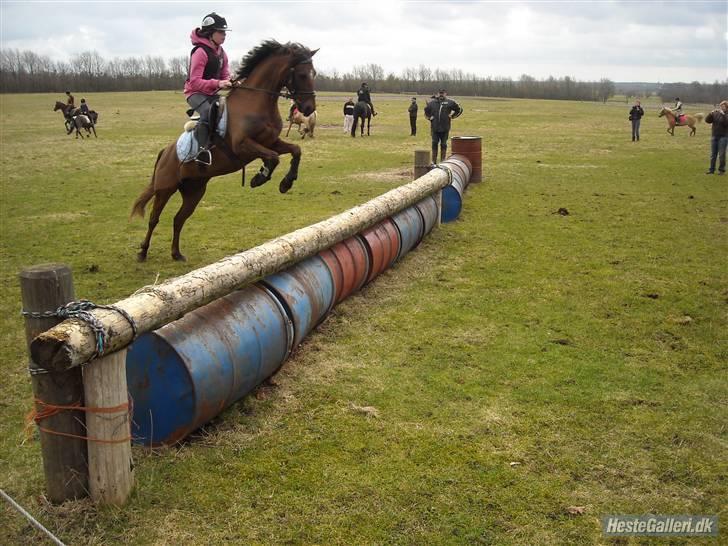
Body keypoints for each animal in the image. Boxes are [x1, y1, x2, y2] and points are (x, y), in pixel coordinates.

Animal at [132, 39, 318, 260]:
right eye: (302, 75)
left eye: (314, 73)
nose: (309, 108)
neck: (256, 100)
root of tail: (165, 152)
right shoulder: (242, 146)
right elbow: (273, 158)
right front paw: (259, 178)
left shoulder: (271, 141)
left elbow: (295, 150)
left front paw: (286, 183)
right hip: (165, 189)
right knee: (154, 218)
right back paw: (143, 251)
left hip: (194, 190)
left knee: (179, 219)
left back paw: (176, 253)